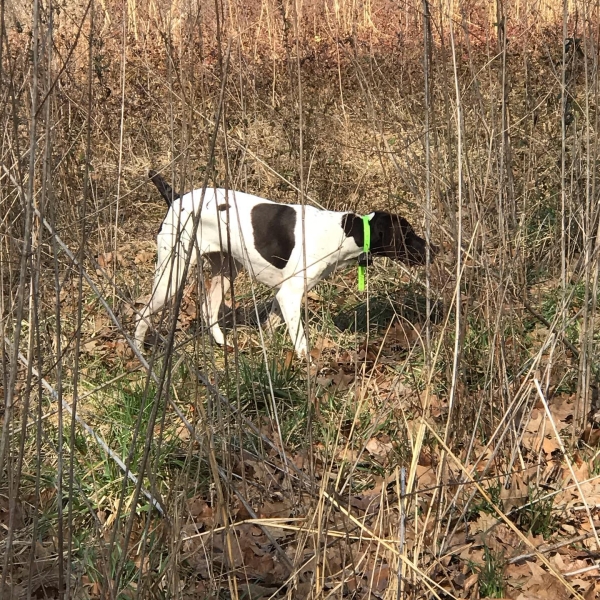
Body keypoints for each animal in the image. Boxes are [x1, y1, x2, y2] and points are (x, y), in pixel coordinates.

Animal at [135, 169, 436, 356]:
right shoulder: (290, 296)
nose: (435, 249)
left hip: (226, 270)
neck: (344, 232)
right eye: (407, 234)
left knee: (209, 308)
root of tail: (176, 198)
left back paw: (223, 344)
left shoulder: (283, 296)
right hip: (171, 274)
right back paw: (139, 353)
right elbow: (301, 342)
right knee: (143, 314)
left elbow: (271, 326)